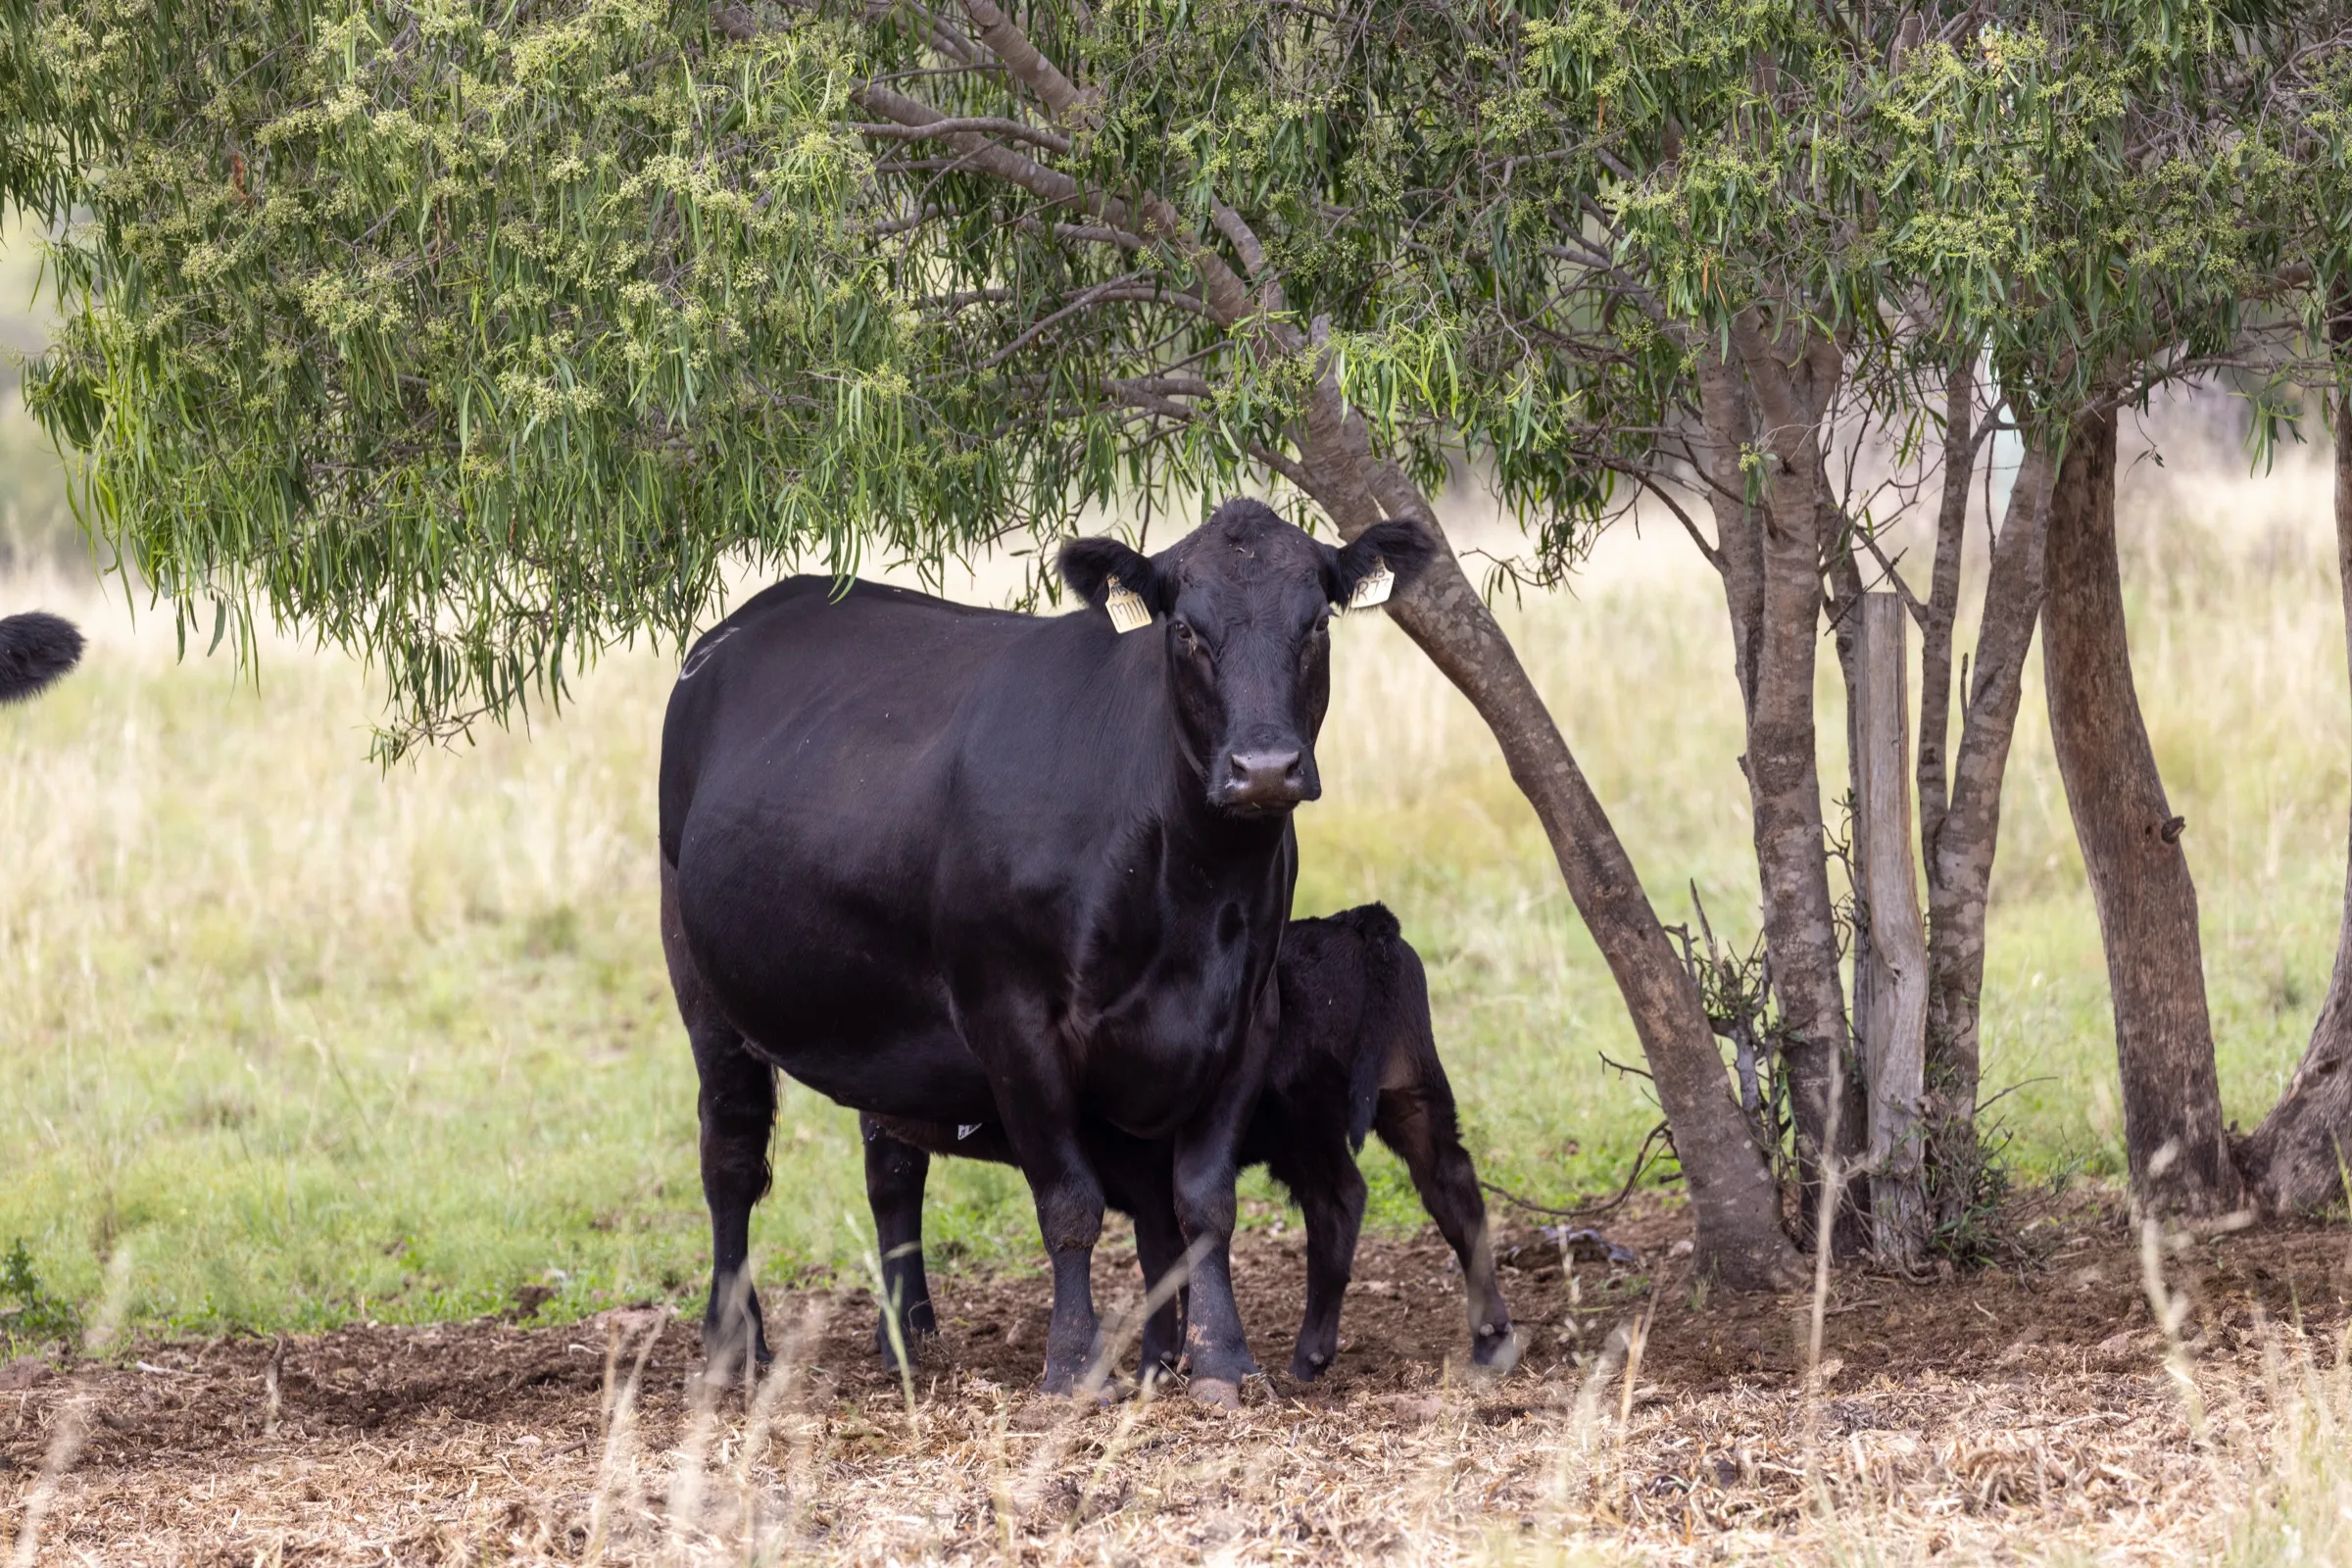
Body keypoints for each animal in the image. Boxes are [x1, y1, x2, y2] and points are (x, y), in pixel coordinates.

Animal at [658, 498, 1433, 1404]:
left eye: (1317, 624)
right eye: (1185, 631)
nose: (1265, 768)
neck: (1188, 885)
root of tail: (749, 620)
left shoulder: (1249, 1011)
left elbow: (1204, 1201)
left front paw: (1222, 1362)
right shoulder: (1012, 1018)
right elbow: (1069, 1203)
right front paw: (1072, 1366)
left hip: (877, 1018)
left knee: (892, 1166)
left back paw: (908, 1338)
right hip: (703, 985)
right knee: (731, 1158)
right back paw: (733, 1347)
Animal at [859, 902, 1518, 1384]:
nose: (880, 1106)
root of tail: (1355, 922)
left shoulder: (1146, 1177)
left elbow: (1160, 1259)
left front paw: (1157, 1365)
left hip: (1306, 1126)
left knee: (1341, 1201)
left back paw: (1311, 1353)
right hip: (1413, 1094)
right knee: (1451, 1188)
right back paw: (1489, 1340)